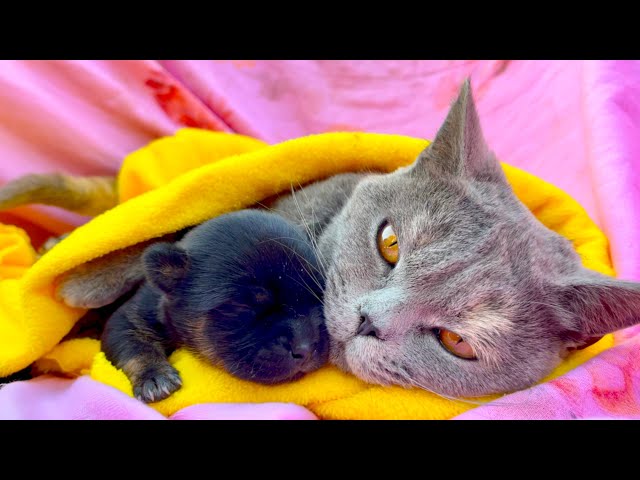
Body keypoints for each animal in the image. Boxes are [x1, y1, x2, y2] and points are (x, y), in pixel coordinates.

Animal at [102, 209, 330, 402]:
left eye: (319, 297)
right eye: (241, 307)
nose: (306, 348)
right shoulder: (130, 318)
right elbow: (135, 347)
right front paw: (155, 376)